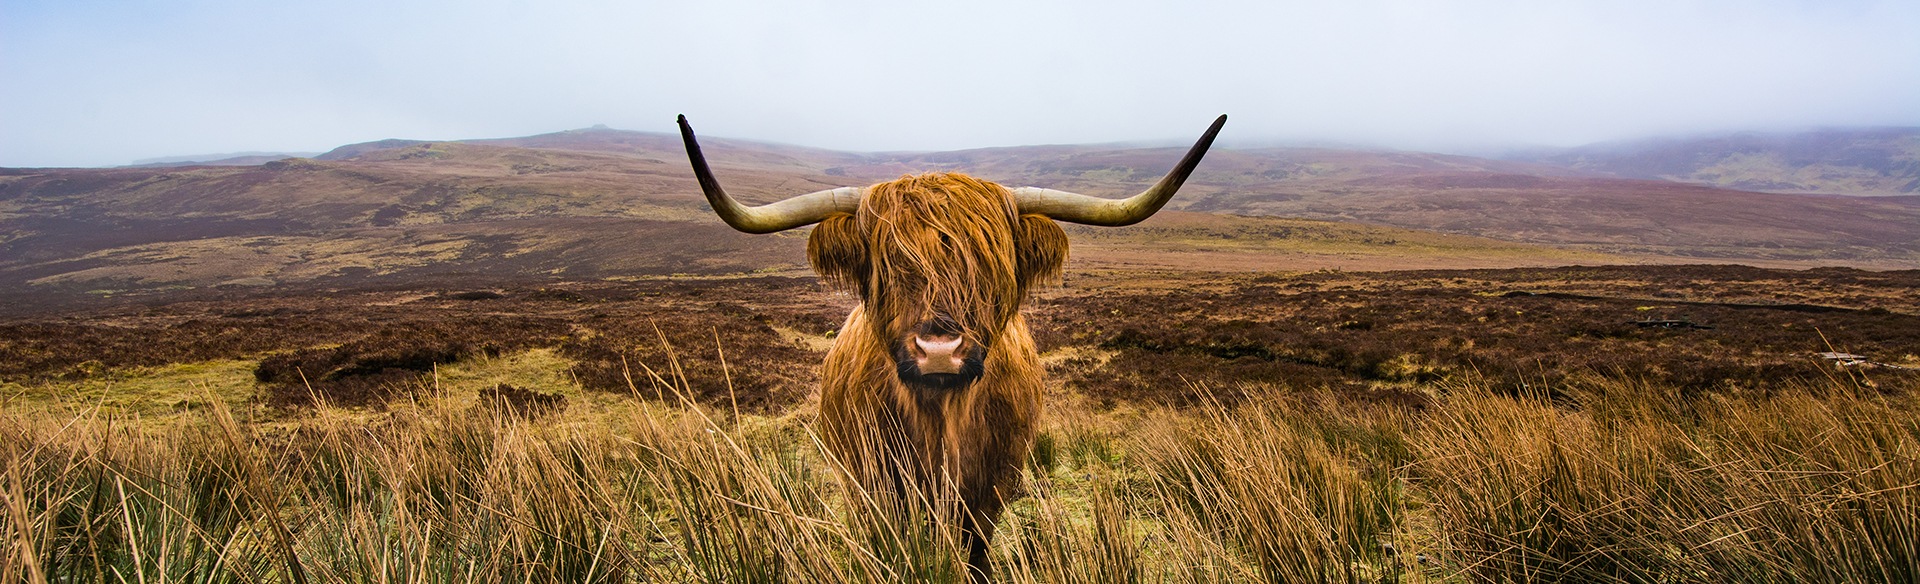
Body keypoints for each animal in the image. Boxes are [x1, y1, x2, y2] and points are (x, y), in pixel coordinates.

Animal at [683, 114, 1221, 580]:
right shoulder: (874, 485)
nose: (939, 350)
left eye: (989, 263)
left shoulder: (991, 486)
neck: (940, 420)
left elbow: (976, 548)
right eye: (887, 264)